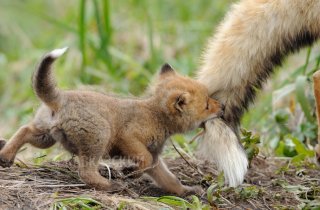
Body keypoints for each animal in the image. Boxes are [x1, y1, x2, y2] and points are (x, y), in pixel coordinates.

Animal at [0, 47, 222, 195]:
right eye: (206, 106)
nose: (222, 107)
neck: (155, 116)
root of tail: (61, 97)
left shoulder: (155, 159)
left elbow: (169, 180)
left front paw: (186, 191)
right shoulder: (129, 138)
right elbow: (143, 160)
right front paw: (129, 173)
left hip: (45, 136)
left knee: (23, 130)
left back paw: (5, 156)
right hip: (99, 138)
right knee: (86, 172)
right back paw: (111, 186)